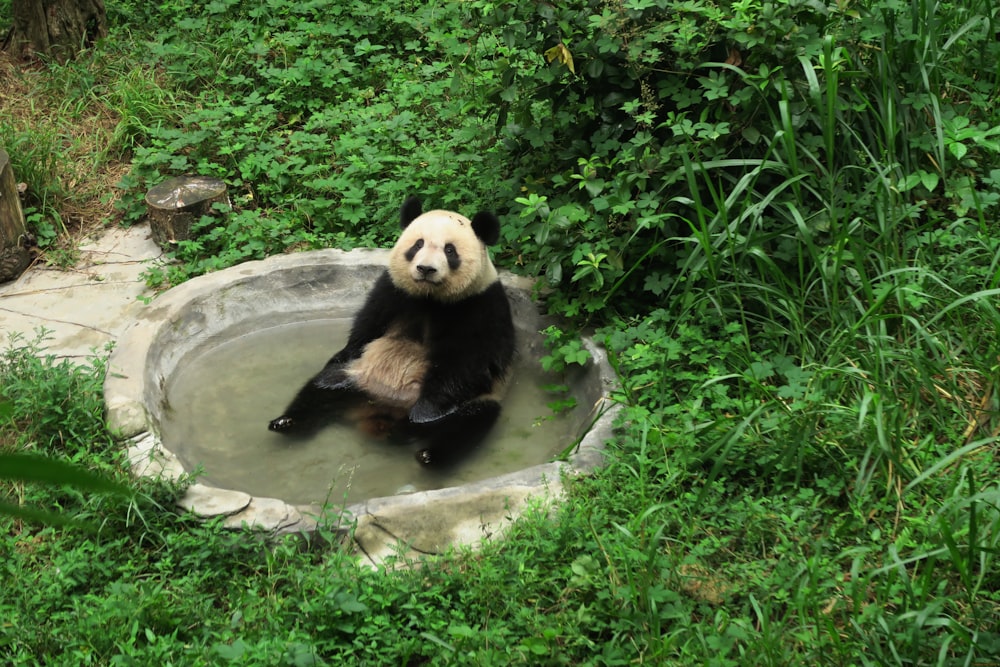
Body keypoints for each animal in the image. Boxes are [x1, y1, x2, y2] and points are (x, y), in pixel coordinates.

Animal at [266, 194, 516, 464]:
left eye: (450, 250)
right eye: (418, 244)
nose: (426, 269)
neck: (430, 298)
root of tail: (376, 415)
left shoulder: (481, 305)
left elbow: (469, 365)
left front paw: (425, 413)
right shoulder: (393, 290)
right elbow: (366, 329)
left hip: (476, 403)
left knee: (466, 426)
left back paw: (424, 450)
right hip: (355, 377)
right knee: (320, 387)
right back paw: (287, 422)